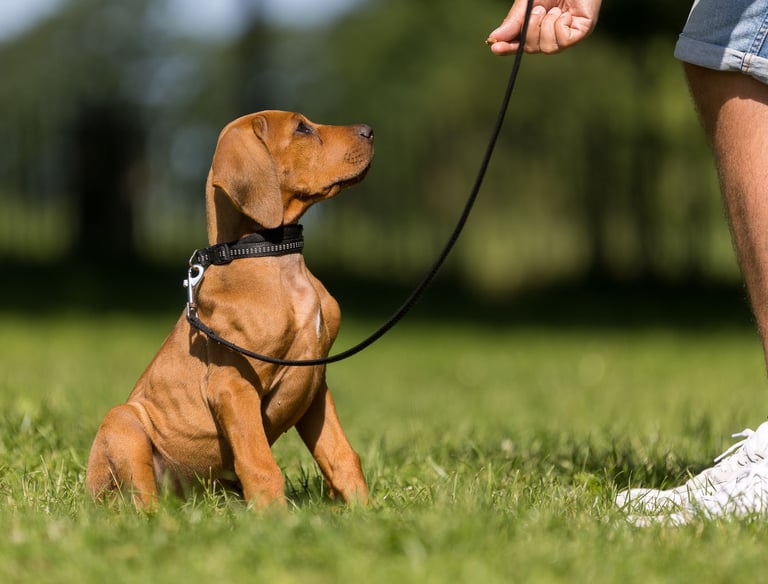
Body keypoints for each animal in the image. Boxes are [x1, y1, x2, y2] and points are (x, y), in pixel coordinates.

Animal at [86, 111, 374, 509]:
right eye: (302, 128)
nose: (370, 131)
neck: (270, 254)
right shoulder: (233, 387)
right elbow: (261, 465)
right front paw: (274, 519)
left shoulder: (316, 383)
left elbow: (343, 457)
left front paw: (367, 513)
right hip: (123, 422)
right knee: (143, 499)